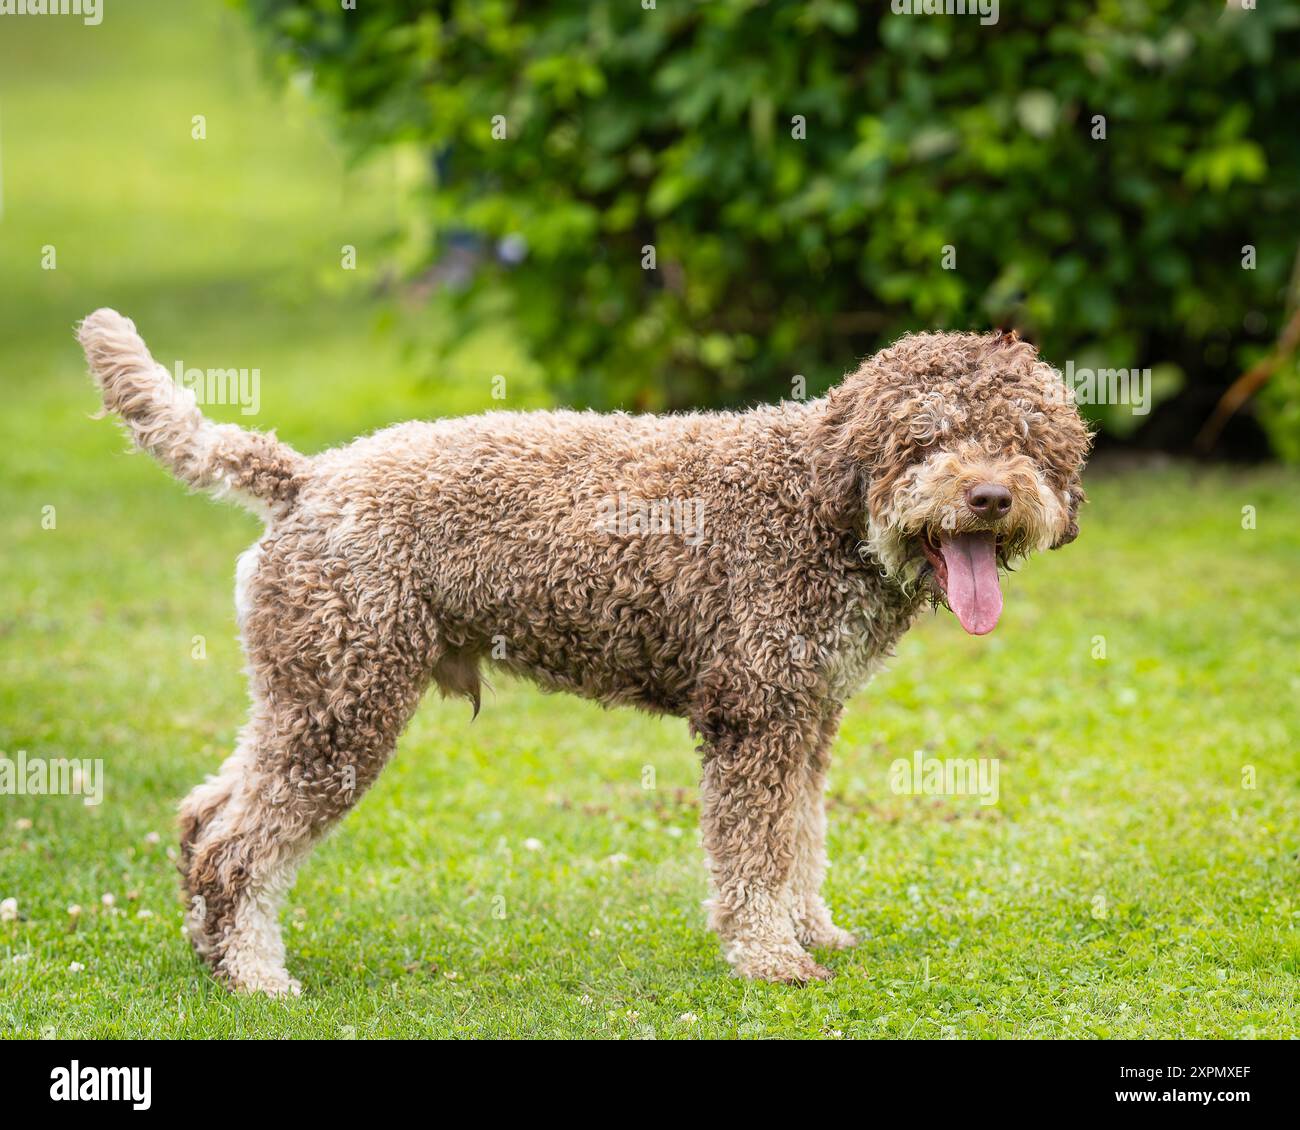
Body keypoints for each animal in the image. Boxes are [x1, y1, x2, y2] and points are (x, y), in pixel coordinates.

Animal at [78, 306, 1086, 988]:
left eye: (1025, 440)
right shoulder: (753, 715)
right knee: (239, 842)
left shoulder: (806, 715)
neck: (819, 504)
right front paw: (768, 955)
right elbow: (755, 852)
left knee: (204, 811)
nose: (992, 496)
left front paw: (812, 931)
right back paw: (256, 974)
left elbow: (799, 837)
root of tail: (307, 476)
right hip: (343, 701)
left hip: (301, 690)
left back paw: (213, 950)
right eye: (929, 437)